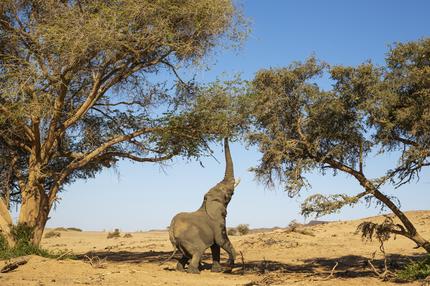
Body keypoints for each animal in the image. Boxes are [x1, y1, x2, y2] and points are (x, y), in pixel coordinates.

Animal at [169, 139, 239, 274]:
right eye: (228, 194)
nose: (225, 136)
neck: (207, 201)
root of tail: (172, 230)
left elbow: (216, 246)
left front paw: (217, 270)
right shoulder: (218, 222)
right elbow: (220, 240)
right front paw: (228, 266)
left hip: (182, 243)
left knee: (186, 255)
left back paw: (180, 270)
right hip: (191, 239)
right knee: (197, 251)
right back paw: (195, 272)